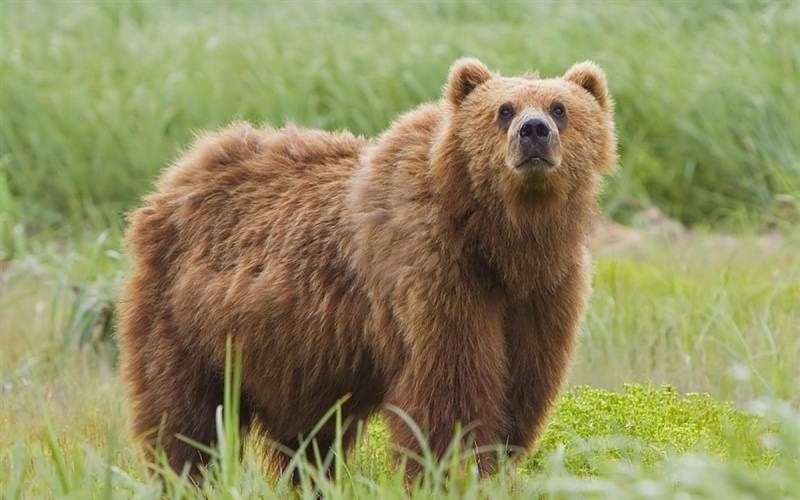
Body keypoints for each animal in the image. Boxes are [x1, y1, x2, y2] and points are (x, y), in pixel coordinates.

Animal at [120, 56, 620, 478]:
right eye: (503, 109)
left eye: (559, 108)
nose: (533, 131)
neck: (501, 241)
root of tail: (179, 172)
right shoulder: (435, 273)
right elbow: (449, 393)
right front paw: (452, 471)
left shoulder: (543, 293)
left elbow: (520, 388)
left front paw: (494, 465)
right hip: (185, 319)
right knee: (184, 416)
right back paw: (184, 474)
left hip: (294, 357)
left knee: (308, 438)